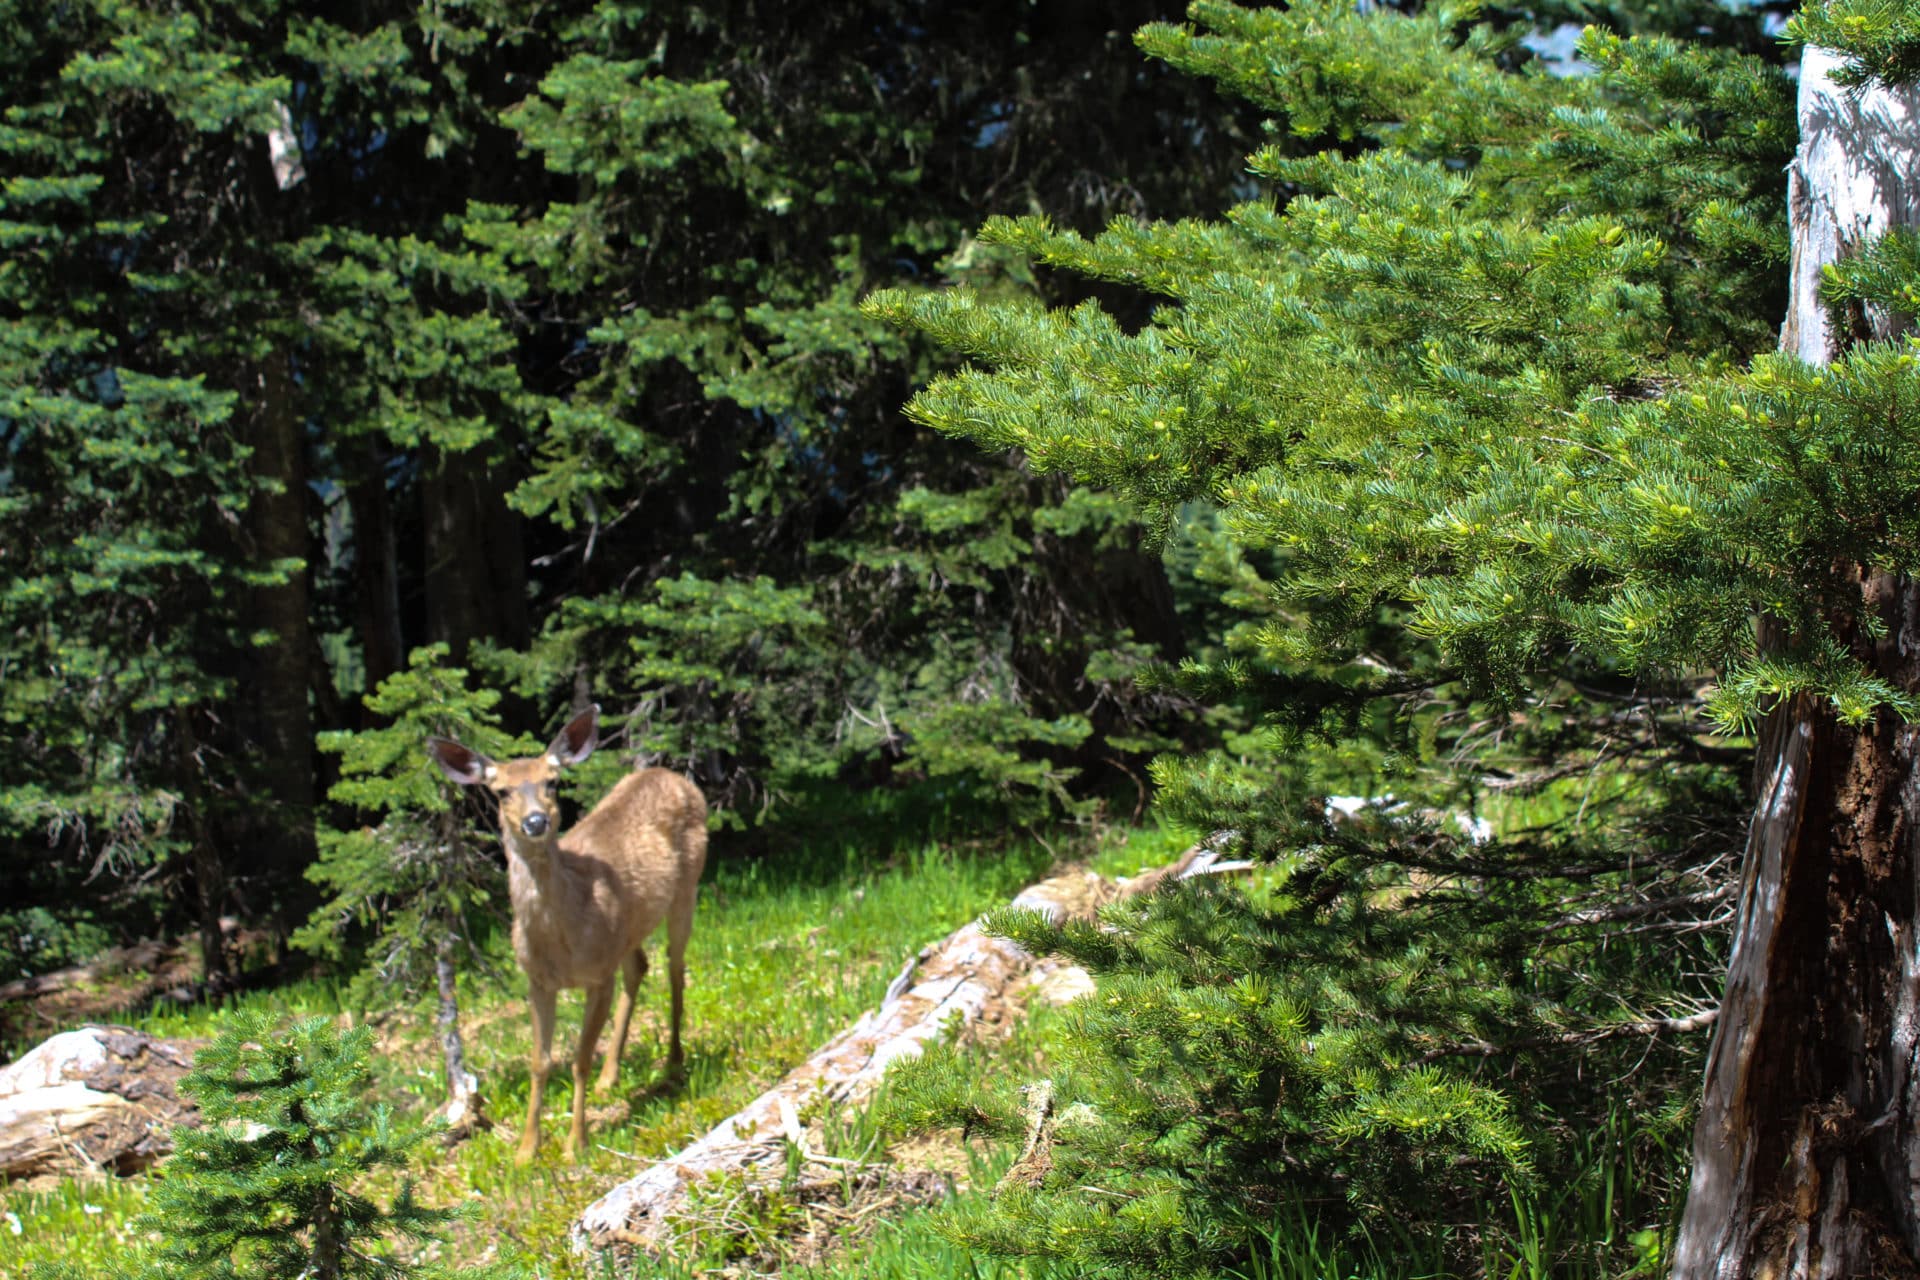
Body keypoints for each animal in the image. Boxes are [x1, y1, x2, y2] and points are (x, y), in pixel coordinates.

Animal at [427, 706, 707, 1163]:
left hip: (687, 887)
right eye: (501, 791)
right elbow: (540, 1063)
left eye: (552, 781)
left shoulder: (598, 976)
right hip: (628, 930)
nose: (535, 821)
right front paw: (527, 1150)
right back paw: (612, 1076)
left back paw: (673, 1060)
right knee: (639, 966)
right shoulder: (538, 982)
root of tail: (672, 775)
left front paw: (577, 1144)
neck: (561, 941)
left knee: (675, 967)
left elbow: (578, 1059)